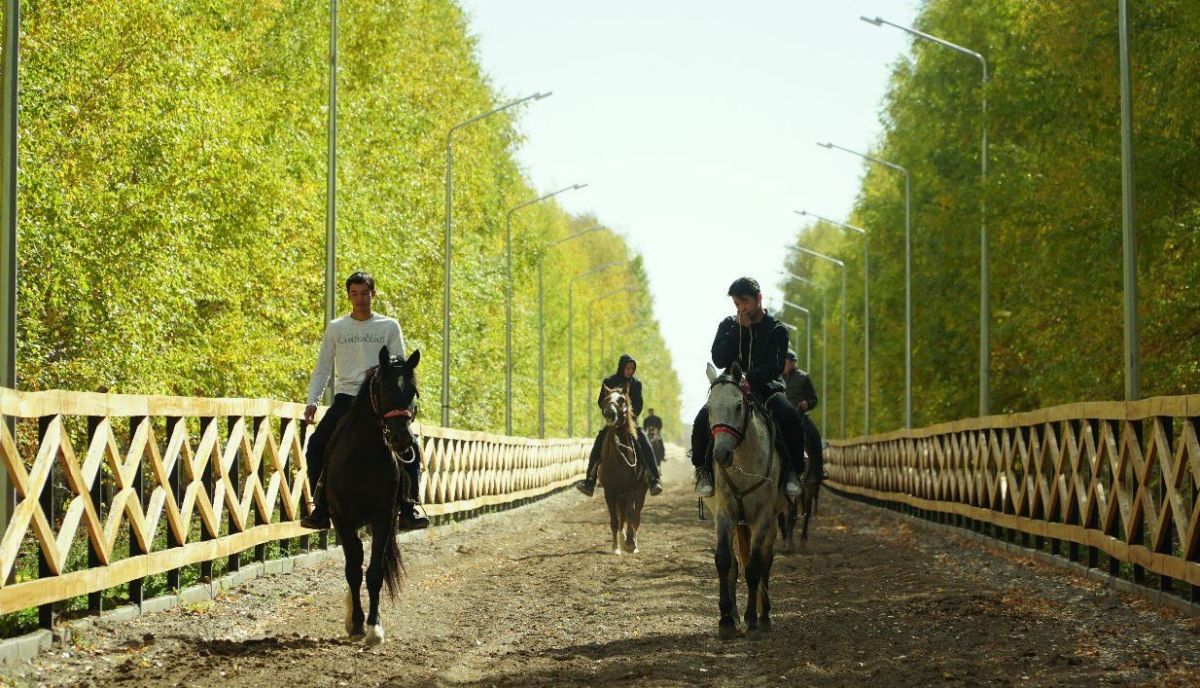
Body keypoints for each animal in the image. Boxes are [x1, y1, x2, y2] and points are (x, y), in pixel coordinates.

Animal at [324, 348, 422, 643]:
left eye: (413, 391)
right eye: (383, 388)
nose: (402, 440)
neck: (362, 458)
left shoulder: (384, 517)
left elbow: (375, 572)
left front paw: (374, 627)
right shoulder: (342, 519)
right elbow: (353, 571)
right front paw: (357, 623)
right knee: (353, 561)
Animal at [592, 386, 648, 552]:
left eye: (622, 399)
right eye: (605, 399)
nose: (609, 413)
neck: (617, 459)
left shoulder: (631, 491)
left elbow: (631, 514)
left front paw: (630, 543)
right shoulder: (609, 492)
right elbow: (614, 519)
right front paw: (616, 546)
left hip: (640, 491)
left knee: (635, 515)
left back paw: (633, 542)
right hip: (619, 495)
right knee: (622, 515)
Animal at [700, 362, 787, 633]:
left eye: (738, 405)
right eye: (709, 409)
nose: (721, 454)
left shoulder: (762, 517)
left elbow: (755, 566)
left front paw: (753, 619)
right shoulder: (725, 513)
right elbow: (724, 561)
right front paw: (726, 620)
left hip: (769, 520)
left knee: (766, 559)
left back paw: (764, 614)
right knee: (735, 563)